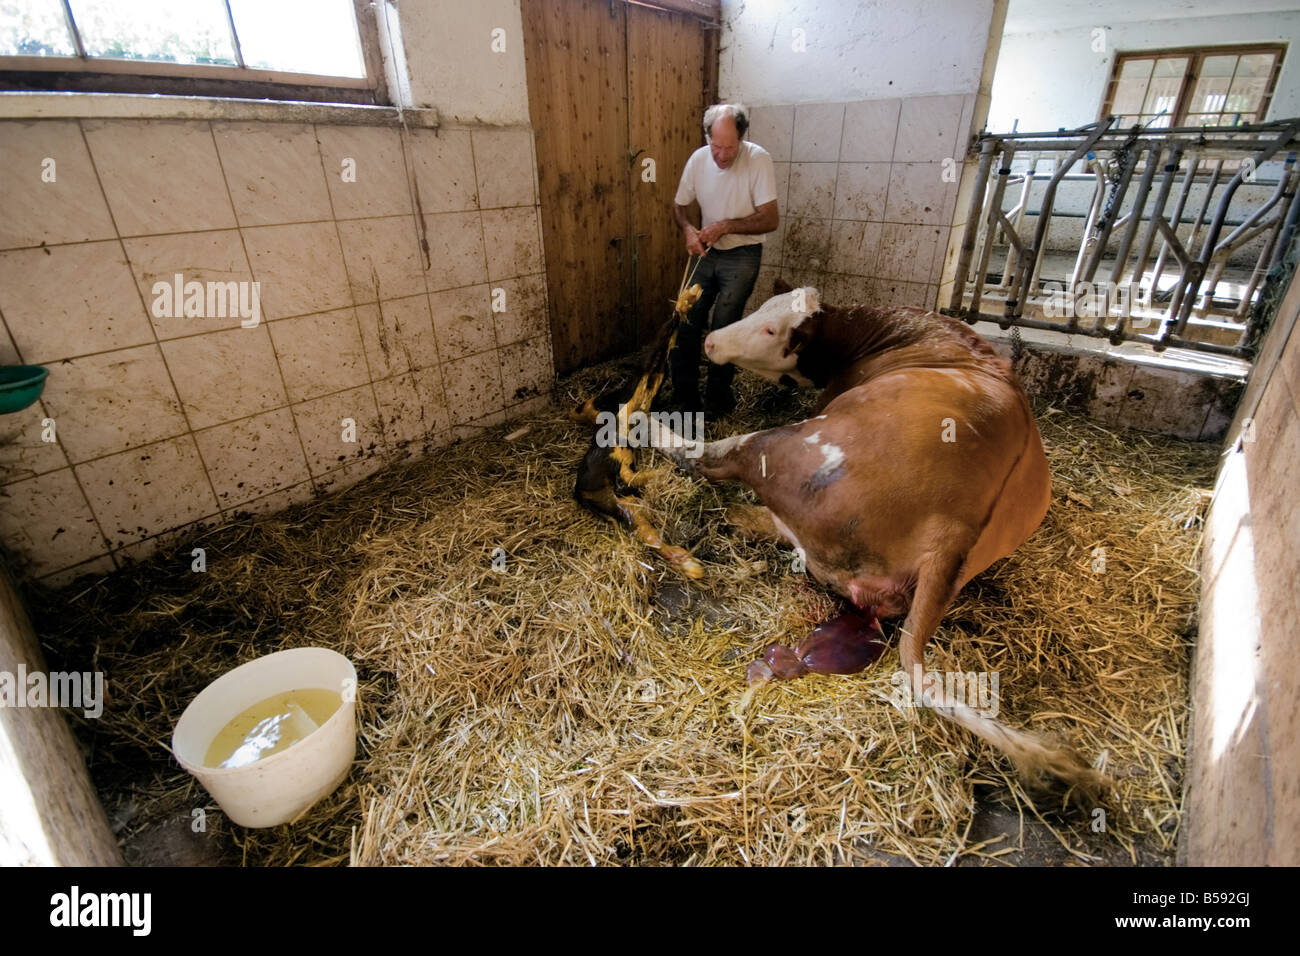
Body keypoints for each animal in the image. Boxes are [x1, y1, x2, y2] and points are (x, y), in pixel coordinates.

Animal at [656, 279, 1106, 795]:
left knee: (712, 457)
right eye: (760, 309)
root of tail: (954, 525)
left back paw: (645, 429)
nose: (711, 341)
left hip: (790, 446)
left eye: (772, 329)